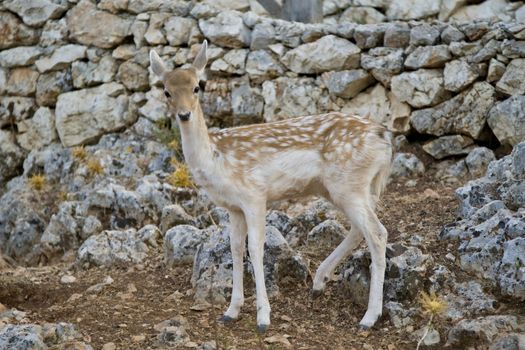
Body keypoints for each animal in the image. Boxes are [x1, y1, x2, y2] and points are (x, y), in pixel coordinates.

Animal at [149, 40, 390, 330]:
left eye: (197, 87)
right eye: (166, 91)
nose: (184, 115)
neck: (217, 160)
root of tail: (384, 139)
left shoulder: (254, 195)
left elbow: (255, 248)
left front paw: (263, 317)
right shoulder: (233, 207)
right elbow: (234, 248)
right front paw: (231, 311)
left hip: (349, 183)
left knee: (377, 233)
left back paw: (369, 317)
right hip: (344, 188)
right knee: (358, 229)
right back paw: (319, 281)